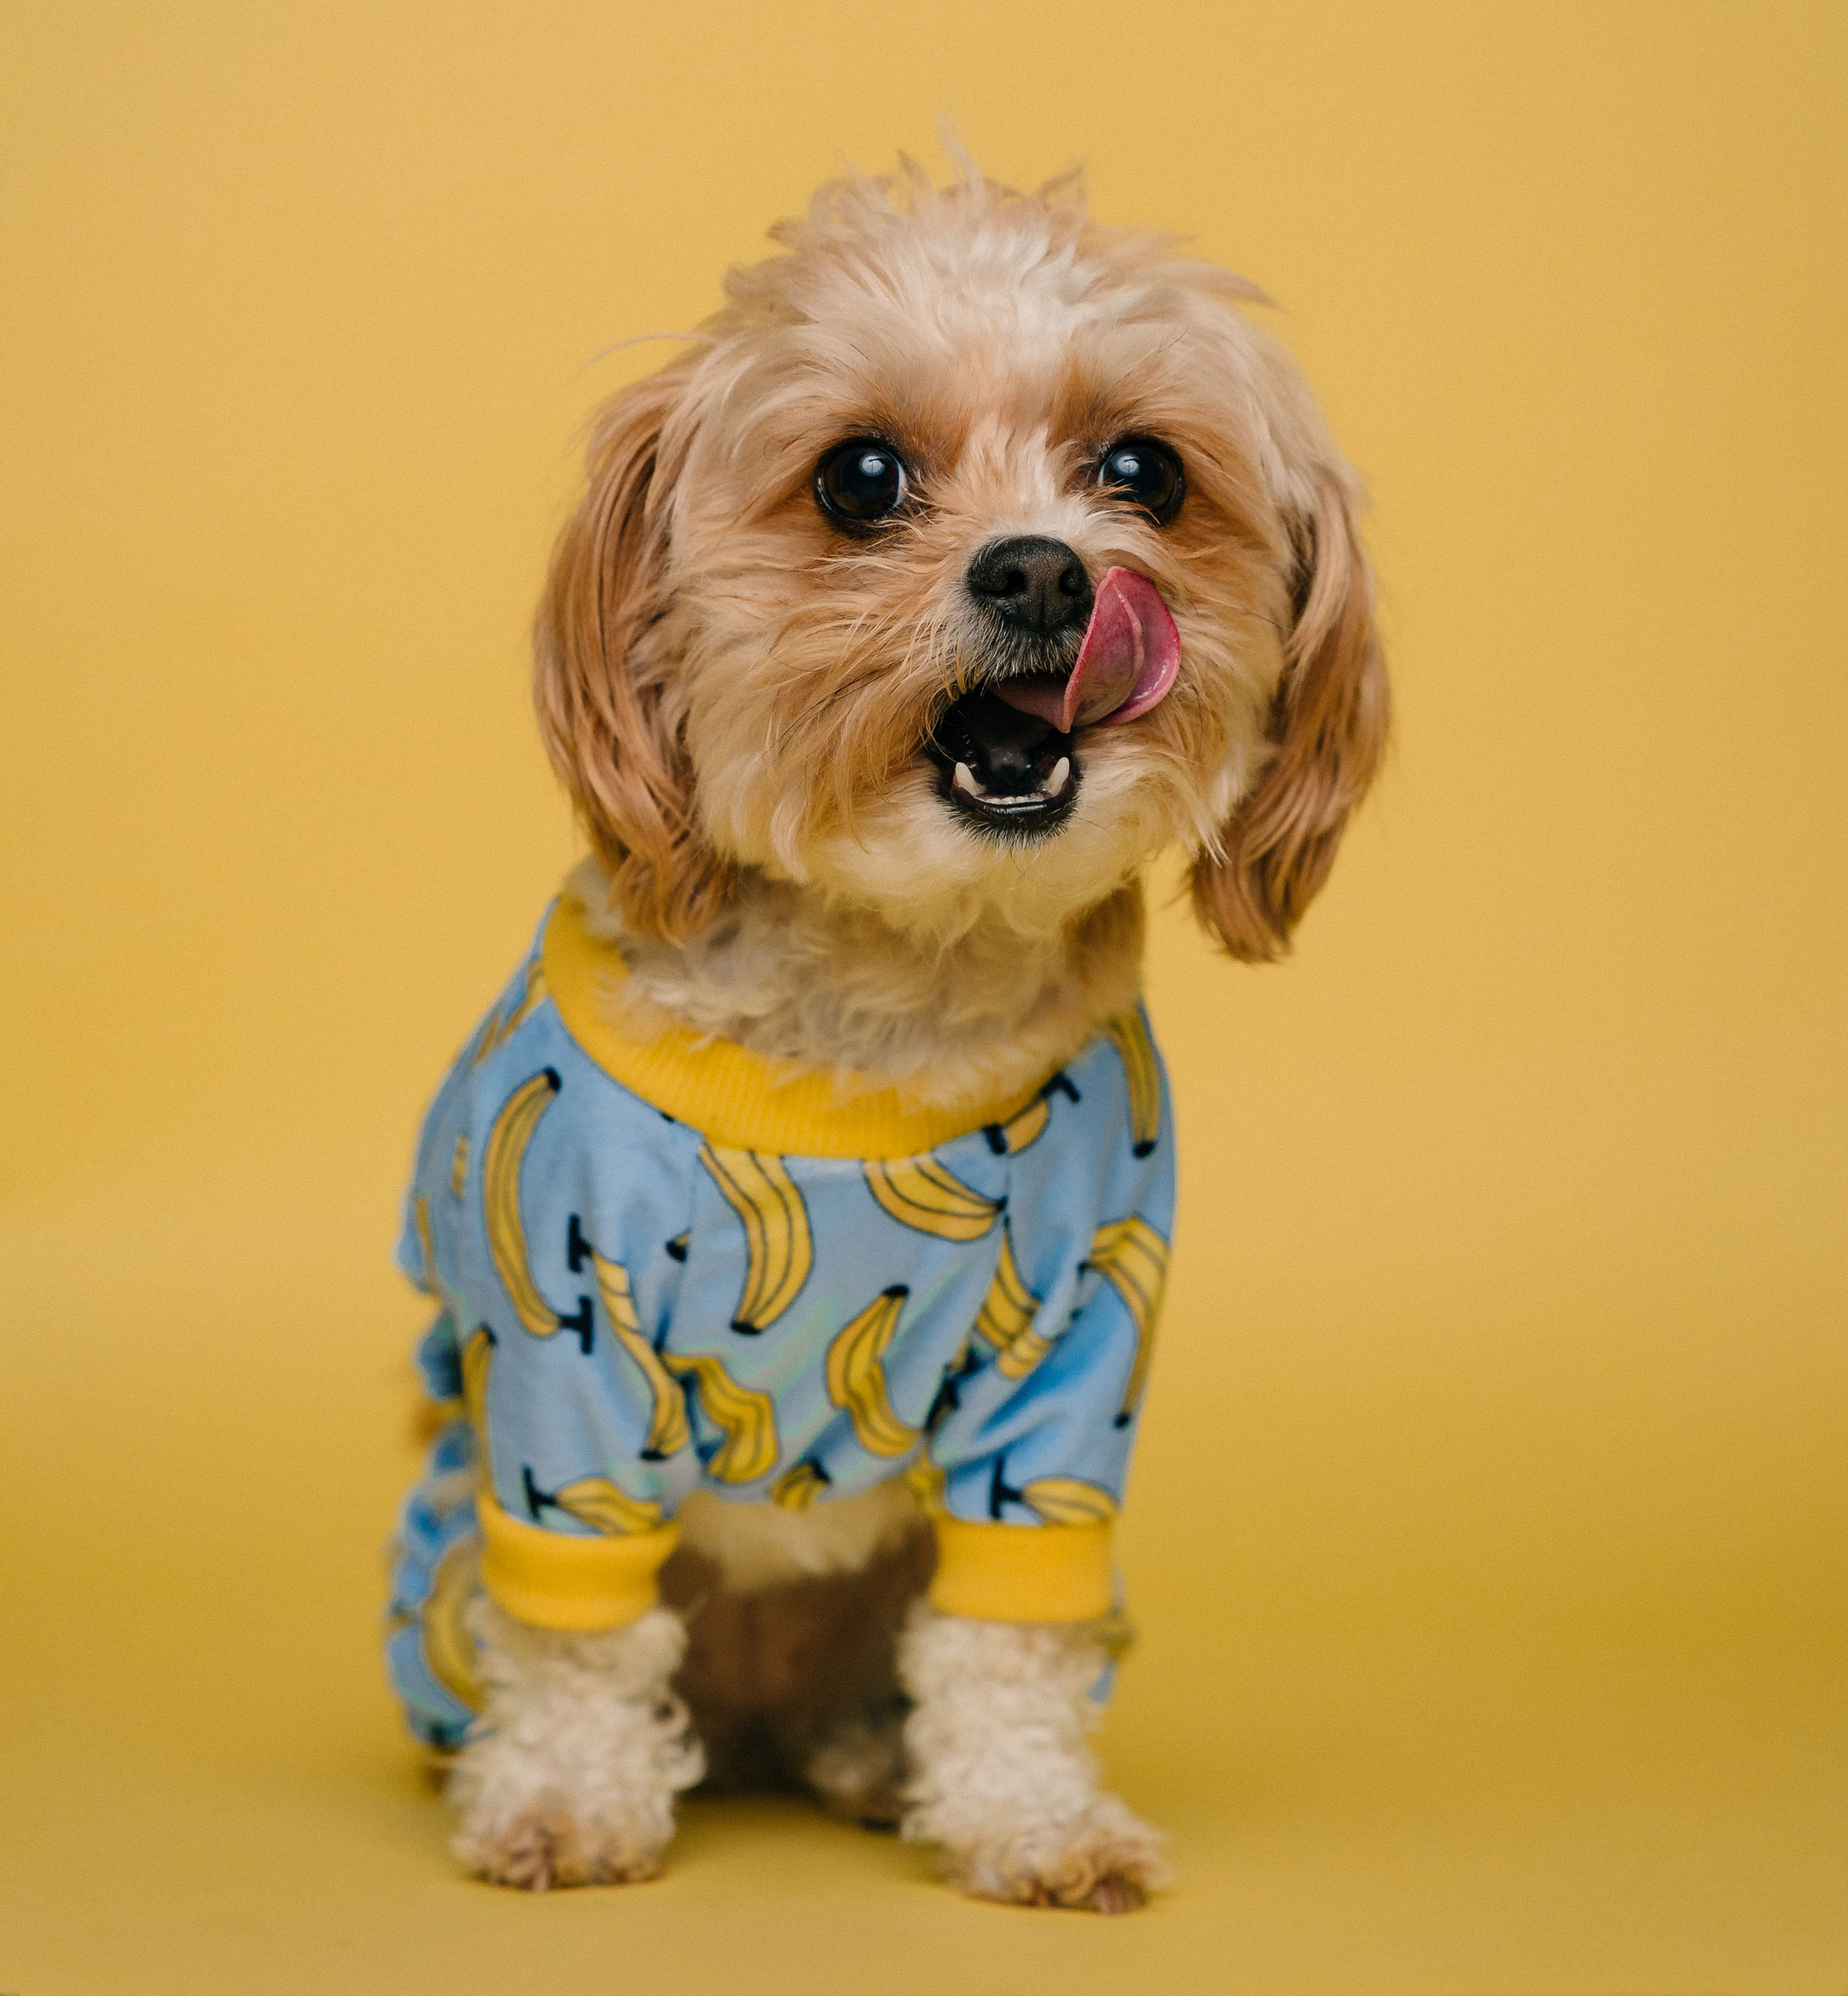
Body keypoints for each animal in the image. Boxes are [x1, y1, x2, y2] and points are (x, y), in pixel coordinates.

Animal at [383, 148, 1381, 1908]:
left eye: (1143, 470)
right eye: (858, 477)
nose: (1044, 566)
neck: (884, 1007)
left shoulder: (1072, 1362)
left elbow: (1005, 1637)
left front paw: (1033, 1821)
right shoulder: (560, 1356)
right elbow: (575, 1638)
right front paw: (566, 1799)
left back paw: (868, 1755)